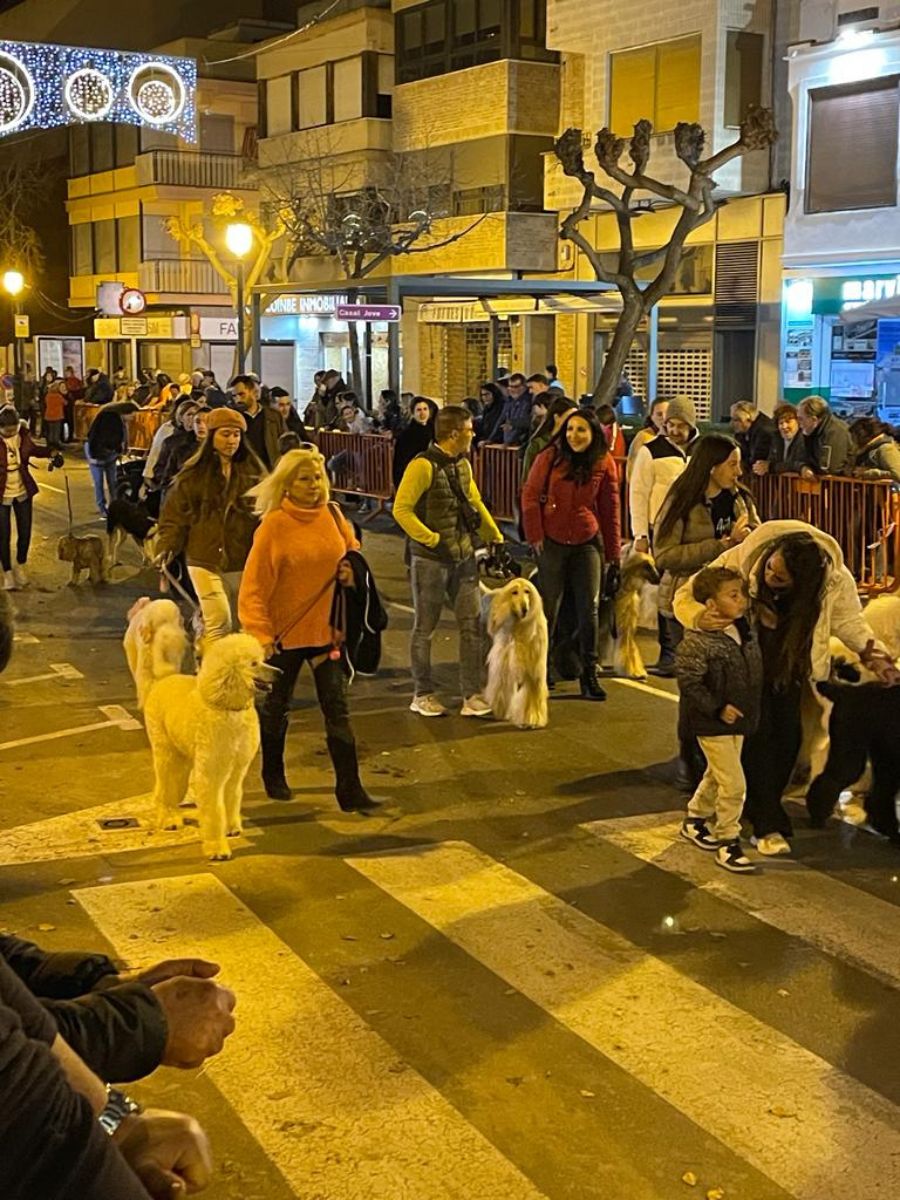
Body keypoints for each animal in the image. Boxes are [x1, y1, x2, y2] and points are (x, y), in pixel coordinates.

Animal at [127, 604, 274, 859]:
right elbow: (214, 809)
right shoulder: (212, 770)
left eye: (262, 660)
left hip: (183, 757)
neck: (227, 707)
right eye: (253, 664)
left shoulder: (236, 769)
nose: (280, 672)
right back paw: (169, 819)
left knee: (169, 789)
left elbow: (231, 797)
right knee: (165, 789)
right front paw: (217, 847)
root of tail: (162, 680)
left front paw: (231, 827)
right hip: (167, 754)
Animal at [811, 686, 900, 844]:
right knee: (835, 778)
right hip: (851, 746)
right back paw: (817, 816)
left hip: (885, 756)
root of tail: (846, 691)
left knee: (880, 795)